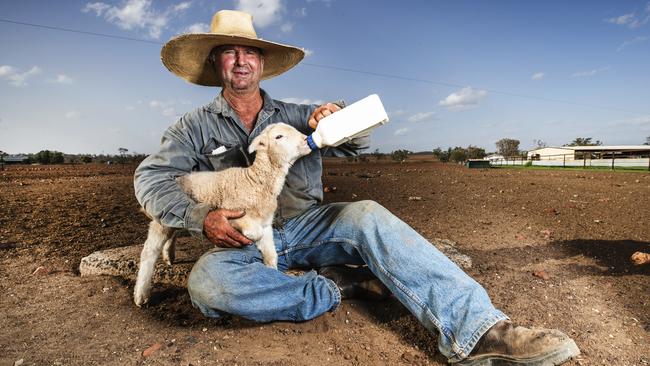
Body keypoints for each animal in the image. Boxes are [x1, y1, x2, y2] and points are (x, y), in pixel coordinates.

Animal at [133, 123, 310, 306]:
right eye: (279, 137)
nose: (306, 139)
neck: (255, 182)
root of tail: (177, 178)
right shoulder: (233, 214)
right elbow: (253, 232)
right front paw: (247, 239)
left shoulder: (266, 224)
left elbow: (271, 255)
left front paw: (272, 272)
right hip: (161, 217)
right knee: (149, 251)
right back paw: (141, 294)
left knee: (172, 228)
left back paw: (168, 256)